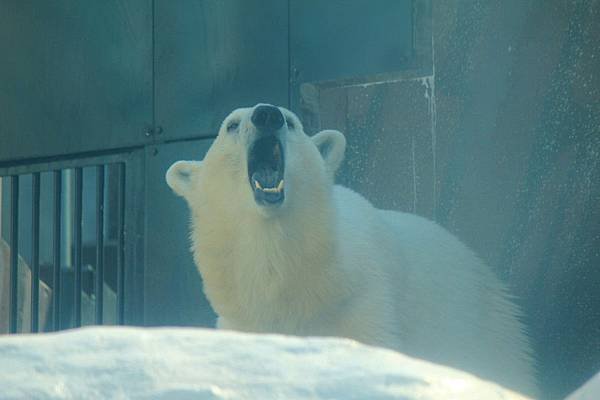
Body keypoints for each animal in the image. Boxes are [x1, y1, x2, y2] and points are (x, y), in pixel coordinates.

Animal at [166, 103, 536, 396]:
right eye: (231, 124)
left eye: (291, 120)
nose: (267, 114)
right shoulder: (243, 319)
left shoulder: (360, 298)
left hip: (484, 327)